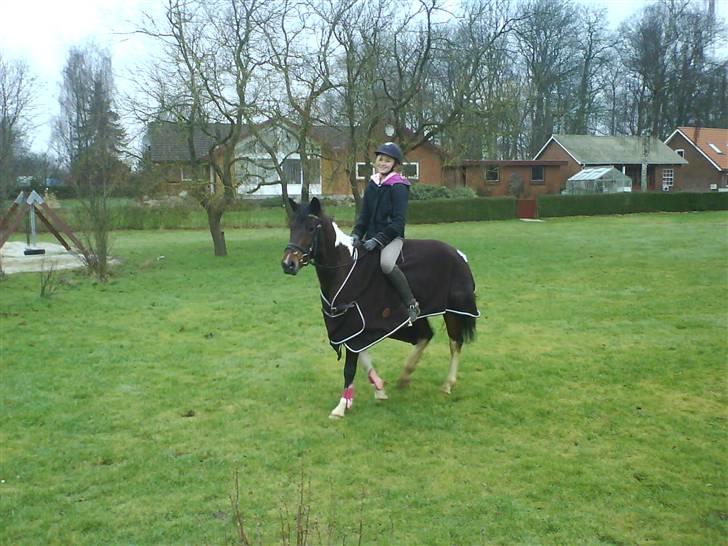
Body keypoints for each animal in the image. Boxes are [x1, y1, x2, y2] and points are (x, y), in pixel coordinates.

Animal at [282, 198, 480, 418]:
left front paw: (341, 407)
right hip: (418, 317)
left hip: (453, 312)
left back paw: (447, 384)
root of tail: (458, 254)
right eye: (292, 227)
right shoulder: (350, 328)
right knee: (426, 335)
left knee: (455, 343)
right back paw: (405, 376)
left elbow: (350, 367)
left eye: (310, 228)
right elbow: (362, 357)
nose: (288, 264)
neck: (344, 267)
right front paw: (378, 388)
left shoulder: (354, 325)